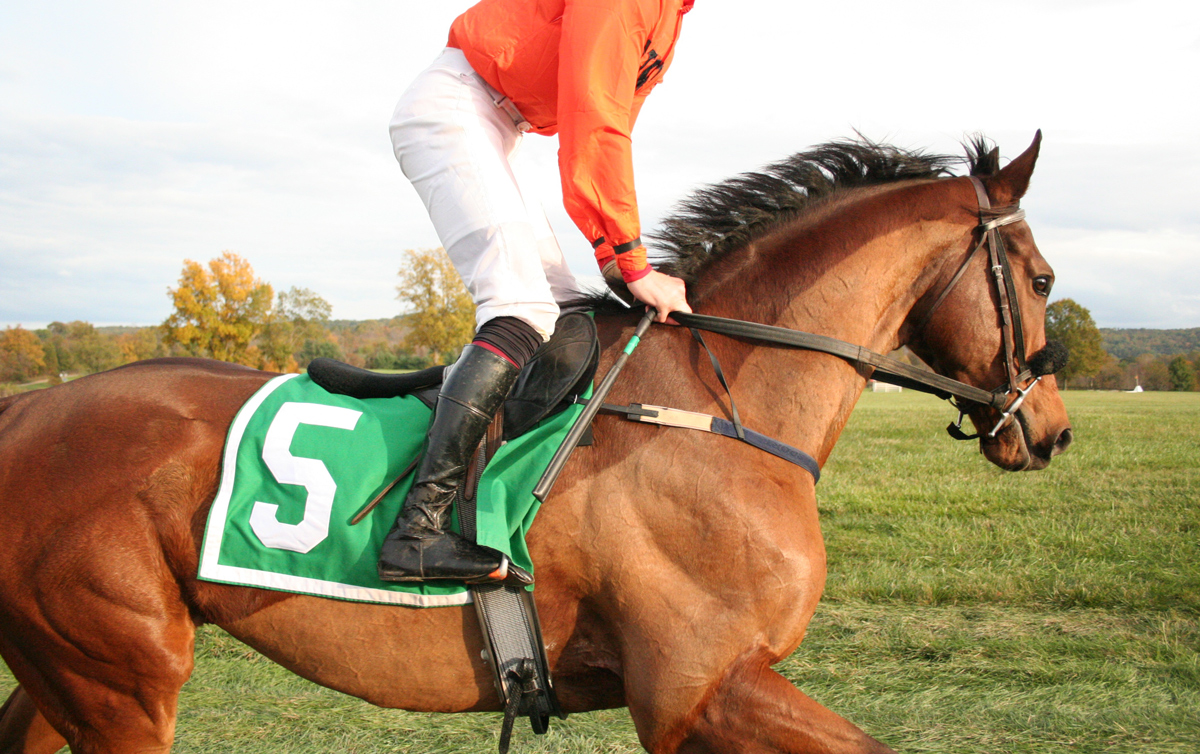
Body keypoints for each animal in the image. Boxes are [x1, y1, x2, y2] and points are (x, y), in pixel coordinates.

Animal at [0, 135, 1070, 754]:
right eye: (1044, 279)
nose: (1051, 430)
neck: (713, 404)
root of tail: (21, 414)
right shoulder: (697, 689)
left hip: (70, 672)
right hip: (119, 678)